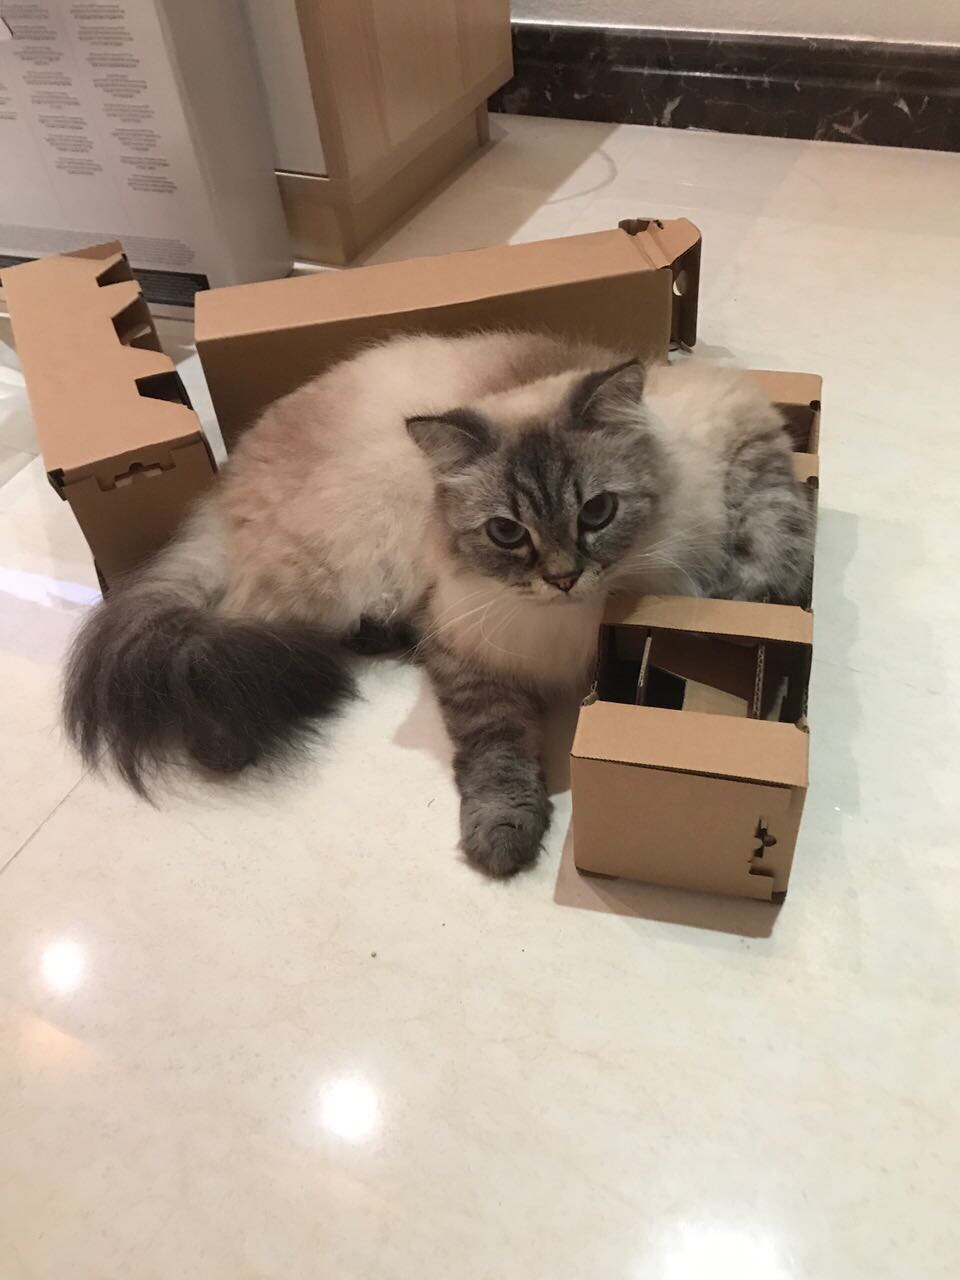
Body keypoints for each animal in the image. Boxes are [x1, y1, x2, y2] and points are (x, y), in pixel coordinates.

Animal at [64, 331, 813, 877]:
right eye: (507, 533)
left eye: (598, 512)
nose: (564, 578)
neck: (573, 623)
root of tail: (221, 490)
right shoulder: (472, 659)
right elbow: (496, 754)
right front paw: (504, 837)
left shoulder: (743, 433)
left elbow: (778, 519)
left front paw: (756, 589)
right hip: (325, 578)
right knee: (224, 644)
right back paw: (226, 744)